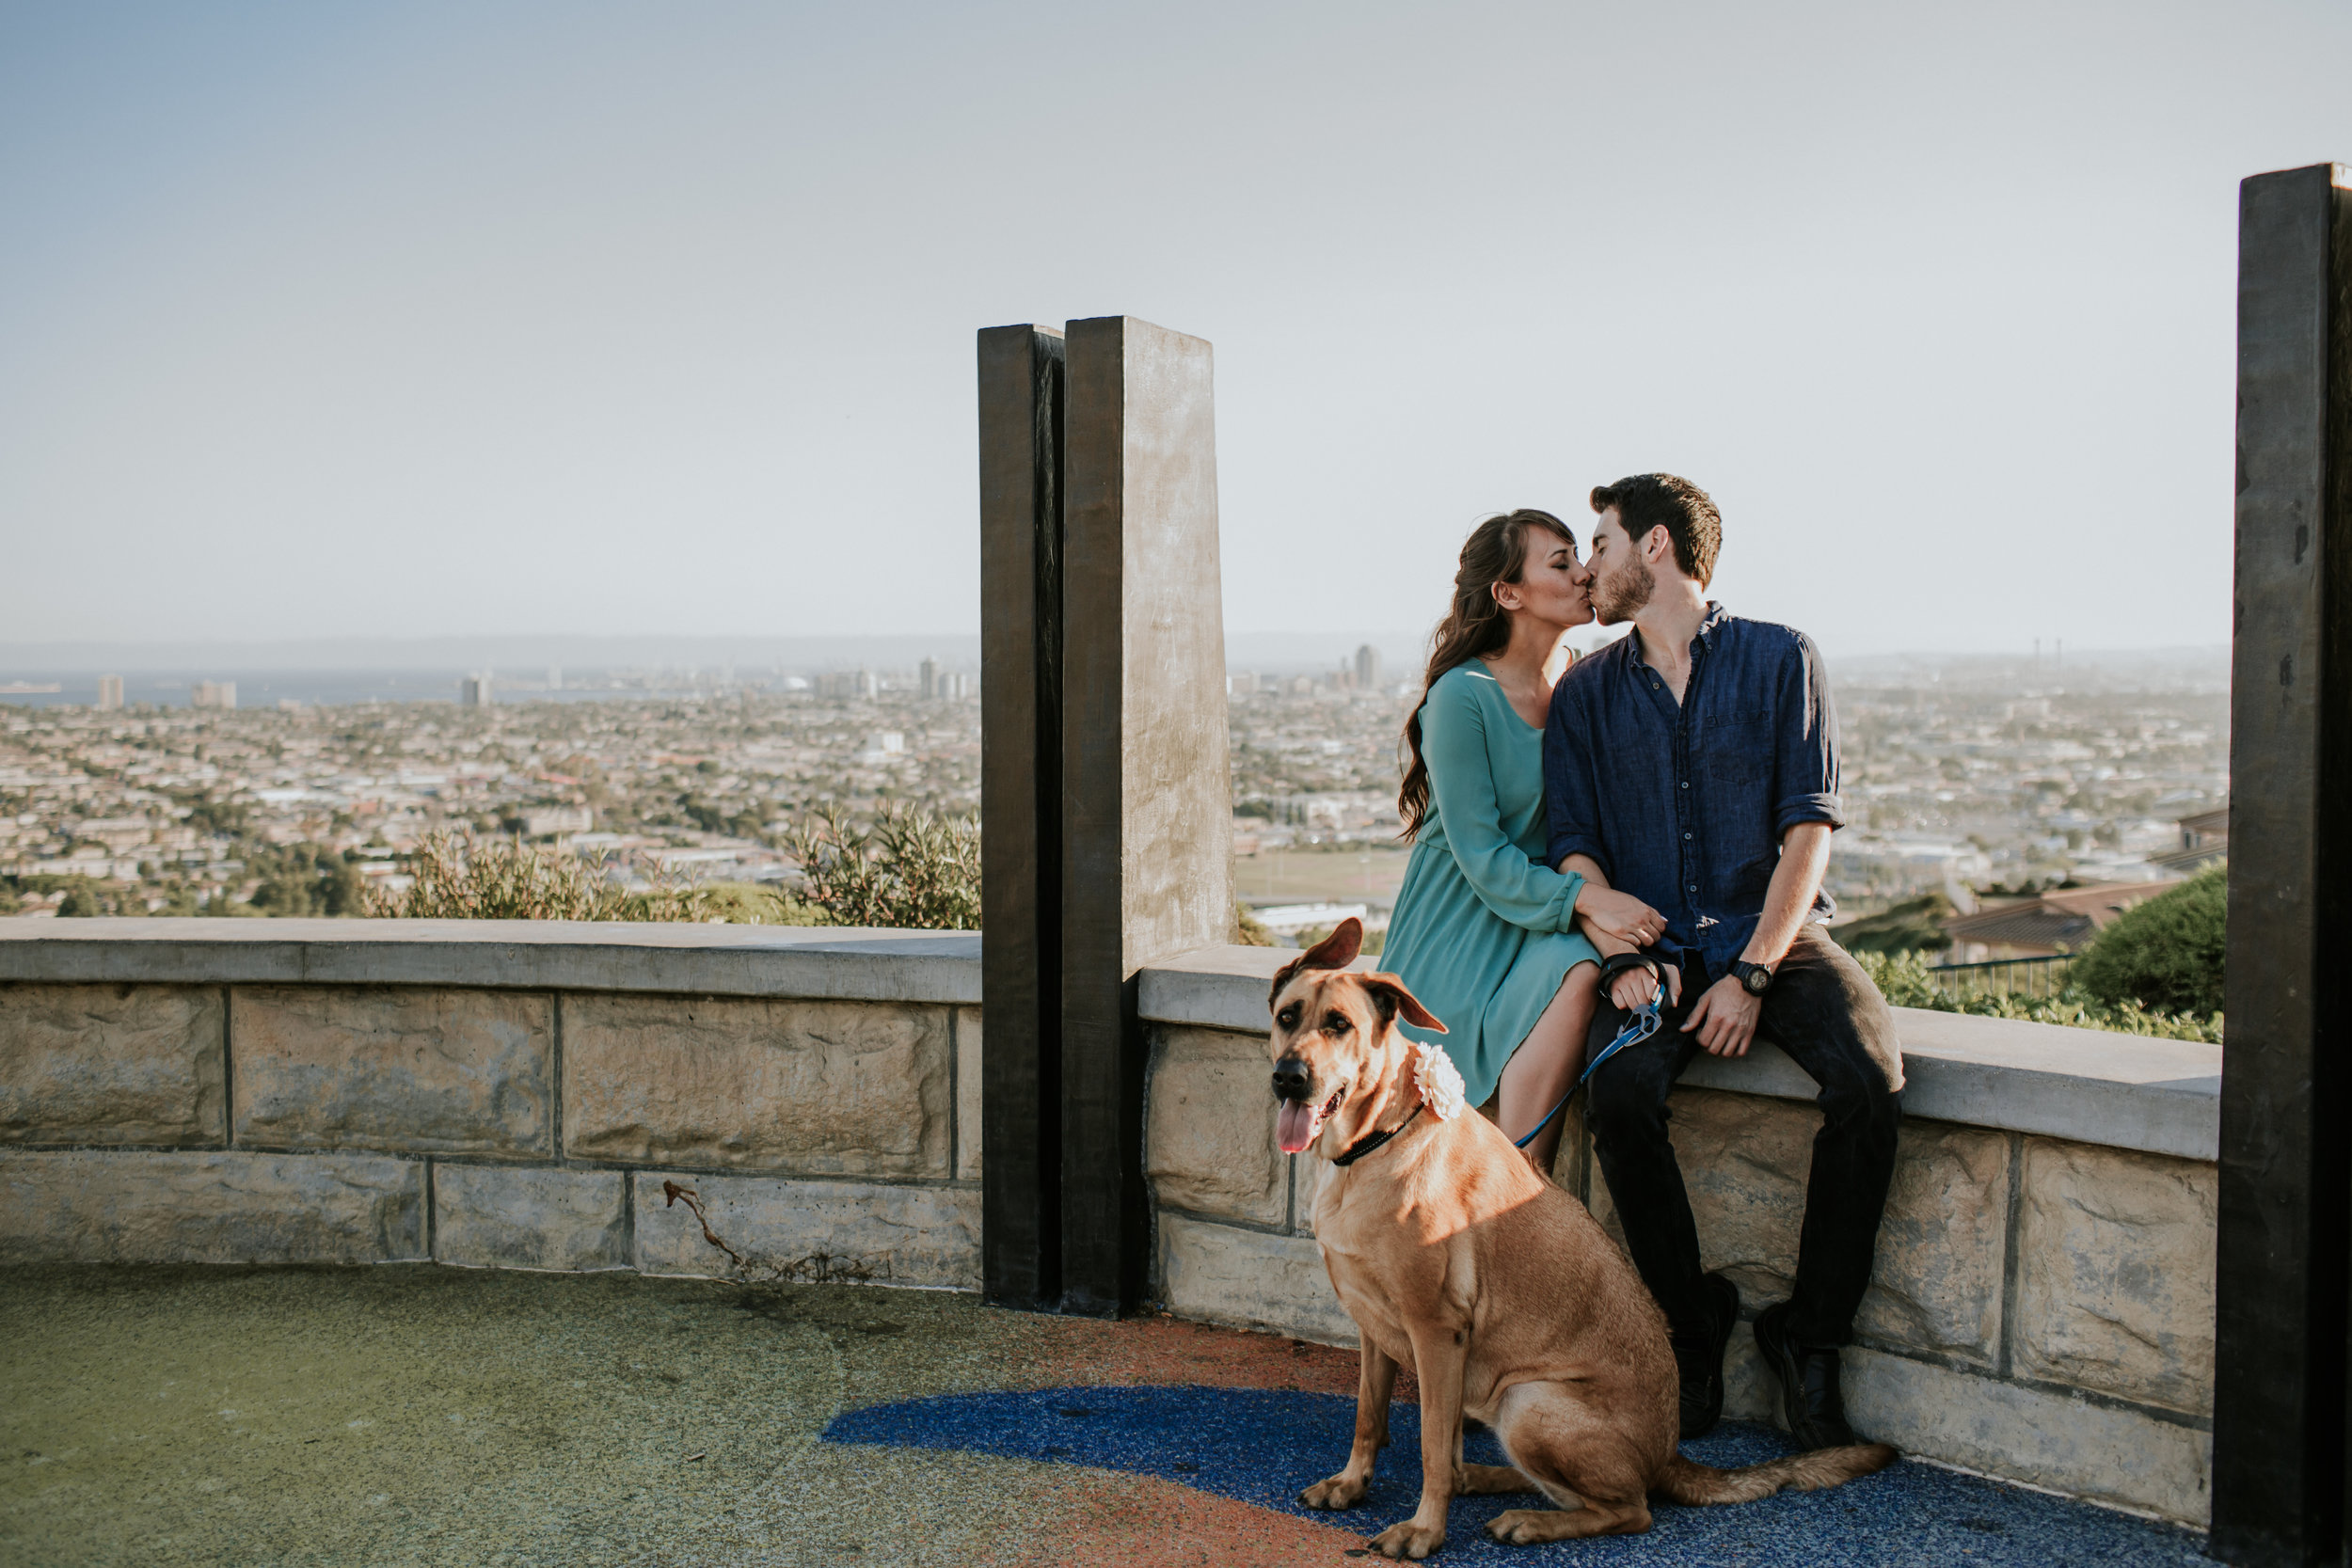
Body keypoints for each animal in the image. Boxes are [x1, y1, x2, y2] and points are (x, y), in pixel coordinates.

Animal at [1270, 921, 1891, 1560]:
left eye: (1339, 1024)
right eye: (1288, 1016)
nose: (1289, 1078)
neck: (1373, 1143)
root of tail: (1668, 1455)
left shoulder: (1436, 1332)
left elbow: (1431, 1446)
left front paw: (1424, 1530)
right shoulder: (1374, 1326)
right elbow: (1369, 1418)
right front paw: (1351, 1484)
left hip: (1528, 1401)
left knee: (1629, 1511)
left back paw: (1527, 1519)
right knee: (1558, 1488)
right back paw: (1485, 1480)